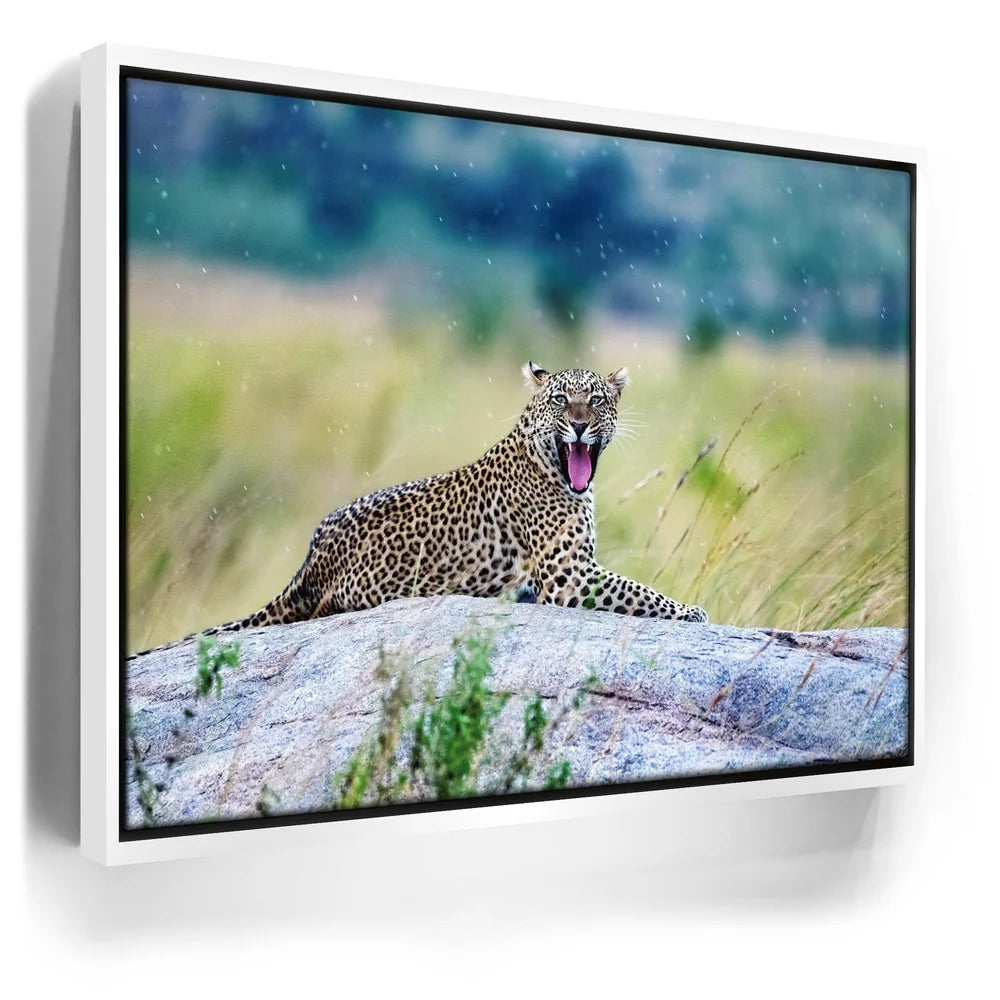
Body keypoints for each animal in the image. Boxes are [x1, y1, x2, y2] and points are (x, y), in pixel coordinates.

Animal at [133, 361, 707, 656]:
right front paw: (693, 612)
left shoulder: (575, 570)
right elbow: (640, 593)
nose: (582, 426)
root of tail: (311, 557)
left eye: (598, 400)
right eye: (561, 401)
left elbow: (637, 589)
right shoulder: (569, 574)